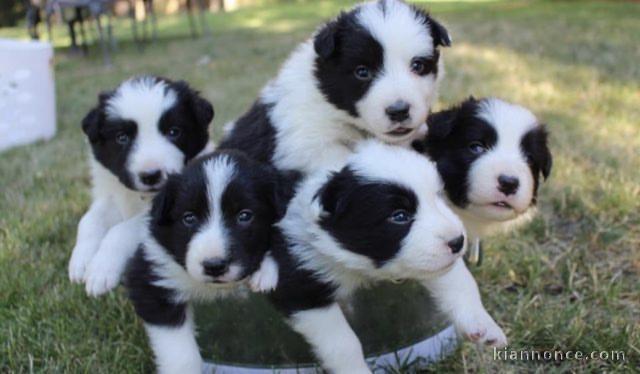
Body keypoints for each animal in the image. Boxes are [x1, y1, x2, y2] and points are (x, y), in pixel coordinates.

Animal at [69, 76, 216, 298]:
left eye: (174, 132)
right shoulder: (112, 195)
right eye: (122, 137)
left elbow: (122, 230)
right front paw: (81, 260)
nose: (151, 175)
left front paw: (101, 269)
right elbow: (89, 220)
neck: (139, 197)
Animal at [124, 150, 288, 374]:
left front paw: (265, 273)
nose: (214, 266)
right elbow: (181, 352)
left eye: (245, 216)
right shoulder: (151, 276)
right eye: (189, 218)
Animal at [264, 140, 504, 374]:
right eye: (399, 216)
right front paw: (356, 371)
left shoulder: (427, 259)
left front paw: (483, 326)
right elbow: (342, 343)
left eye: (437, 197)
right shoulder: (299, 284)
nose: (457, 241)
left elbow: (461, 282)